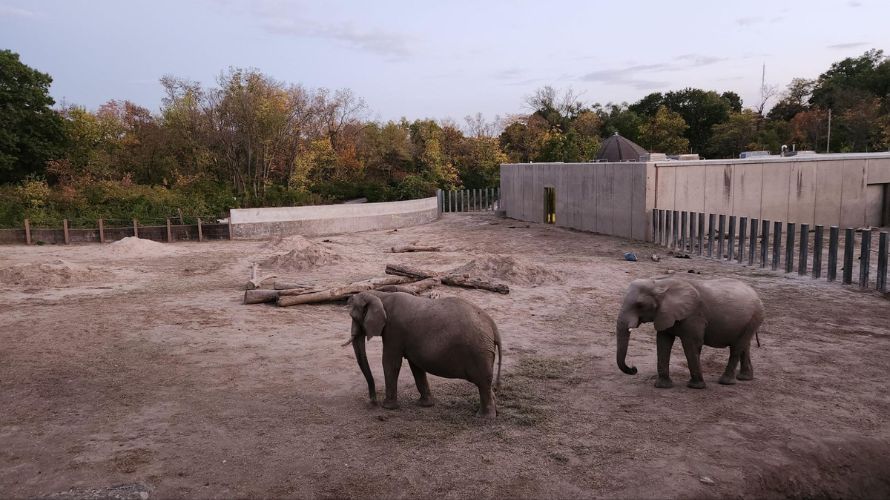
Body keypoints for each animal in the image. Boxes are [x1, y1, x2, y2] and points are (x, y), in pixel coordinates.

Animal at [346, 290, 500, 418]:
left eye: (353, 317)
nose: (372, 402)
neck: (381, 295)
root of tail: (493, 325)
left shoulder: (394, 331)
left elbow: (391, 363)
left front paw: (387, 407)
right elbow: (416, 366)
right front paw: (425, 405)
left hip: (479, 352)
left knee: (483, 382)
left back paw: (484, 417)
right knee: (485, 383)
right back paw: (493, 412)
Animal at [612, 278, 764, 390]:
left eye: (640, 305)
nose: (634, 368)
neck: (661, 284)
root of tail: (756, 294)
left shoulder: (694, 316)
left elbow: (691, 345)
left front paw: (696, 387)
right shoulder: (664, 314)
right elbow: (663, 343)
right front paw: (663, 386)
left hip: (754, 317)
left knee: (737, 348)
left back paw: (726, 382)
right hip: (750, 321)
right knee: (745, 346)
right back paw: (744, 378)